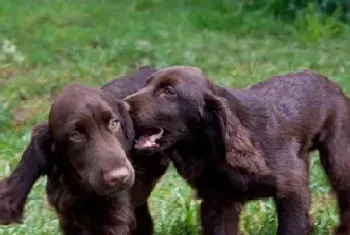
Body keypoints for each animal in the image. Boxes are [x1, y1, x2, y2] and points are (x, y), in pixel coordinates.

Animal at [126, 66, 350, 235]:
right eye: (146, 84)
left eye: (169, 91)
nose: (123, 106)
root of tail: (328, 81)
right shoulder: (218, 202)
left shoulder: (292, 190)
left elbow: (292, 227)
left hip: (339, 159)